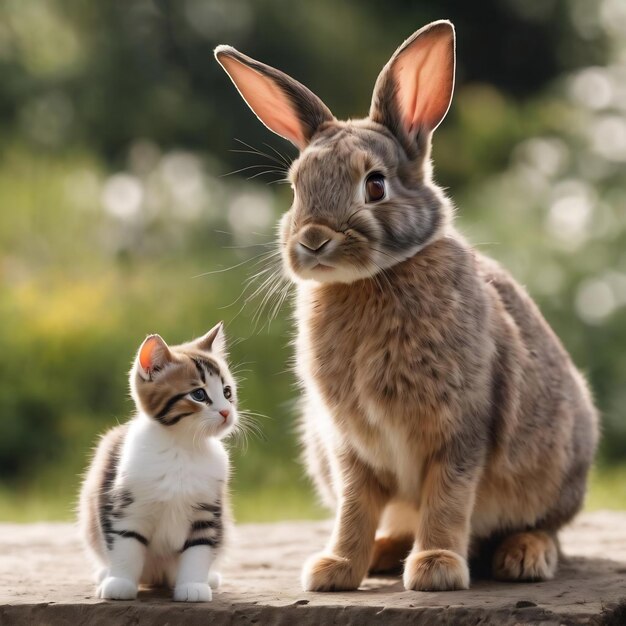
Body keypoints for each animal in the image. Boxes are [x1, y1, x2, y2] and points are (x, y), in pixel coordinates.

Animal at [78, 322, 234, 600]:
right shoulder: (127, 506)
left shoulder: (207, 511)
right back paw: (105, 573)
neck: (182, 448)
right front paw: (120, 583)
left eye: (227, 392)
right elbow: (126, 545)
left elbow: (199, 549)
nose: (227, 412)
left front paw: (193, 586)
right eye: (198, 394)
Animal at [213, 17, 596, 588]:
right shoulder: (351, 446)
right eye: (297, 187)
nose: (312, 240)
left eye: (375, 185)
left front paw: (436, 569)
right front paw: (335, 569)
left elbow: (448, 499)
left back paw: (523, 556)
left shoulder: (460, 429)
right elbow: (355, 507)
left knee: (541, 525)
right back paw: (384, 554)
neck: (371, 281)